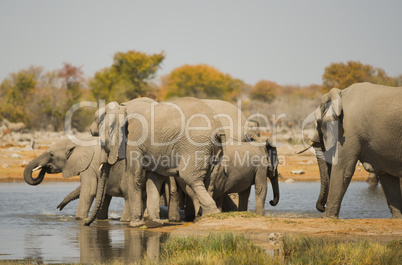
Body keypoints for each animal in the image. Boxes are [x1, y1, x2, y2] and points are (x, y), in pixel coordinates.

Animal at [87, 97, 226, 227]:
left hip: (195, 145)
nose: (86, 224)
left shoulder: (133, 139)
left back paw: (211, 213)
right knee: (209, 180)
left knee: (191, 178)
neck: (121, 108)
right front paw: (154, 223)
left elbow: (134, 177)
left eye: (103, 142)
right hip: (214, 150)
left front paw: (135, 225)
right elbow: (154, 178)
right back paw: (201, 216)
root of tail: (218, 128)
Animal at [298, 83, 402, 219]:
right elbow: (387, 176)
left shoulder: (349, 129)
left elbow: (343, 169)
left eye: (318, 121)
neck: (340, 94)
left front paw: (328, 217)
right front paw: (397, 218)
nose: (322, 207)